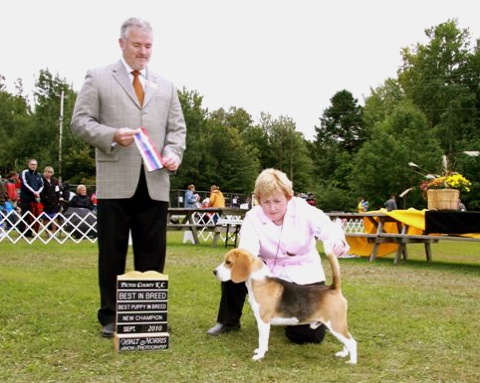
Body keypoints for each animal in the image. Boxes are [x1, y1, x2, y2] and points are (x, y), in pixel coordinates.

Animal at [213, 248, 356, 364]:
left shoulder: (263, 322)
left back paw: (352, 362)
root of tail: (333, 288)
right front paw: (259, 352)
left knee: (352, 342)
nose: (214, 271)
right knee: (347, 341)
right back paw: (343, 354)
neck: (260, 281)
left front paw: (259, 356)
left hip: (335, 325)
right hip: (337, 326)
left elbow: (262, 340)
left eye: (228, 262)